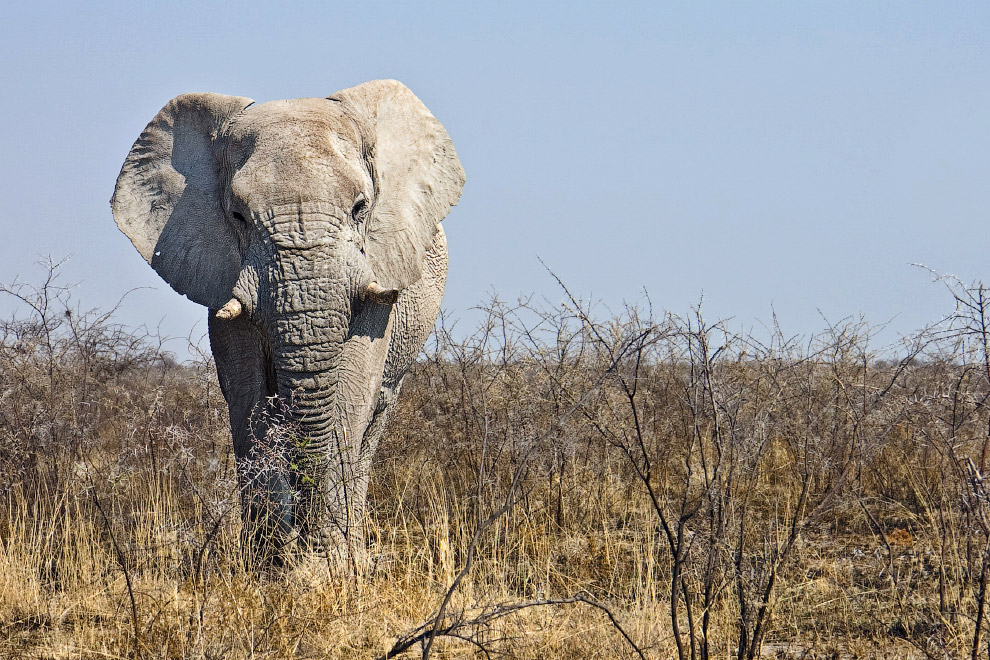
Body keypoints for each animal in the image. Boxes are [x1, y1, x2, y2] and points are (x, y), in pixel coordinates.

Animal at [110, 80, 466, 564]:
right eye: (238, 216)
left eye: (360, 208)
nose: (309, 542)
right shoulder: (221, 274)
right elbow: (248, 395)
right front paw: (274, 565)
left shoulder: (378, 269)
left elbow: (350, 392)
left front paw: (329, 566)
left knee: (374, 419)